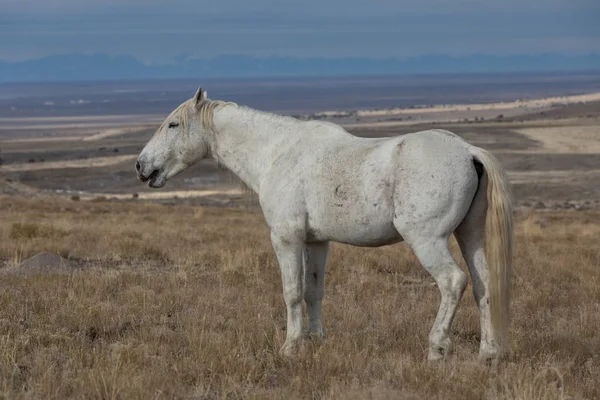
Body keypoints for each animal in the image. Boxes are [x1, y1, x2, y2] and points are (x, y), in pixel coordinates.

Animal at [137, 88, 516, 362]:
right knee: (483, 286)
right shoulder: (316, 242)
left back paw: (437, 348)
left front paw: (291, 347)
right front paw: (316, 340)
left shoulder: (286, 238)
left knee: (453, 282)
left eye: (172, 125)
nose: (141, 165)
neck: (277, 153)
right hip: (470, 236)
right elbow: (313, 291)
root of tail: (468, 151)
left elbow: (291, 292)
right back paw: (488, 353)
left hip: (427, 241)